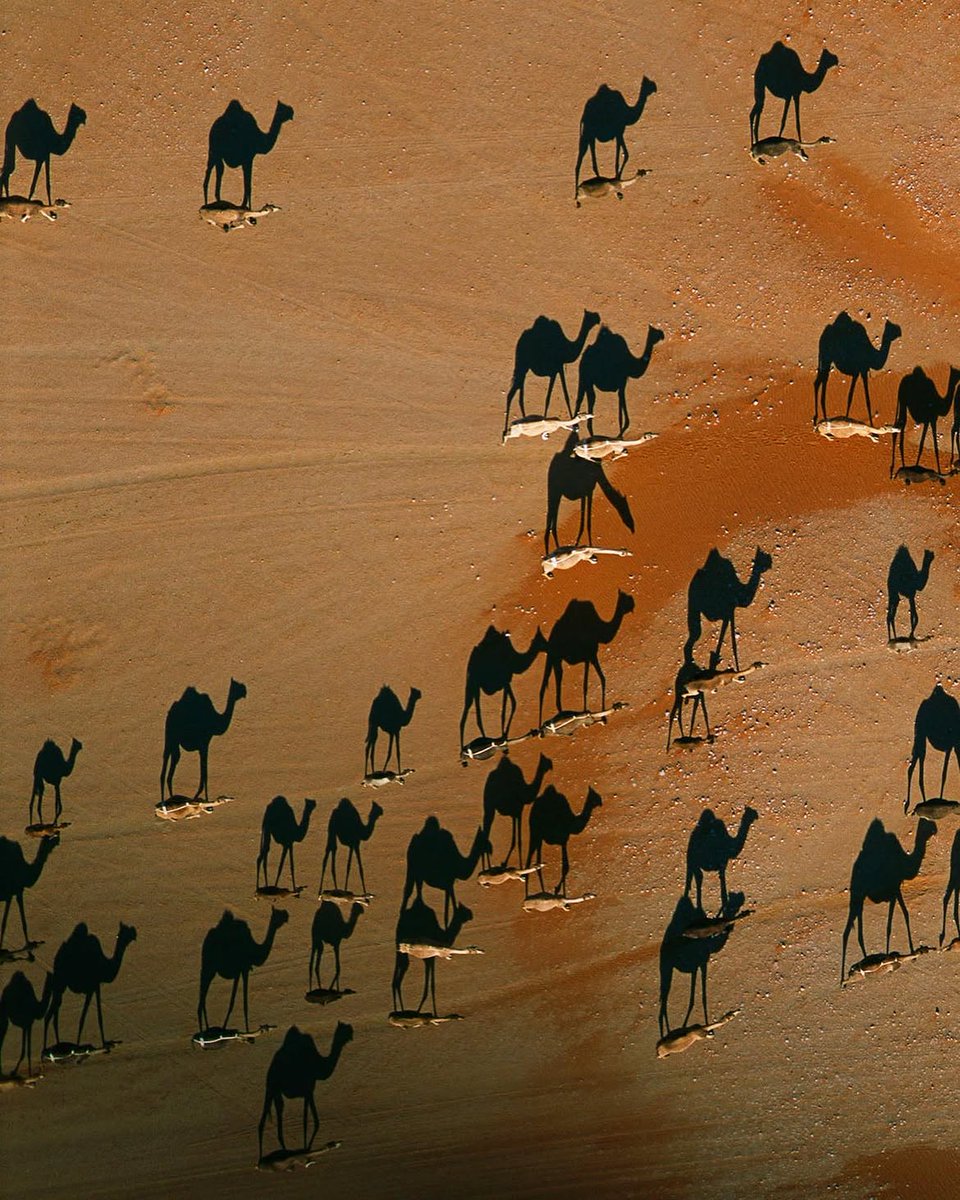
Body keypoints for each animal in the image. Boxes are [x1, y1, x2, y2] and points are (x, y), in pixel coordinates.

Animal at [44, 921, 137, 1049]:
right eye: (120, 934)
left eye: (127, 932)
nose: (134, 935)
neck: (105, 966)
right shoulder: (94, 986)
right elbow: (90, 1017)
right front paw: (102, 1044)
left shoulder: (94, 987)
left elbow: (88, 1016)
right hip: (61, 982)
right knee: (51, 1014)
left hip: (60, 985)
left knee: (54, 1012)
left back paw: (57, 1046)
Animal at [258, 1022, 353, 1160]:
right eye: (346, 1030)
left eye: (349, 1030)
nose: (351, 1036)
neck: (319, 1064)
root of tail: (272, 1067)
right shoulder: (309, 1089)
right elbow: (307, 1120)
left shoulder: (308, 1091)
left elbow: (313, 1120)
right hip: (272, 1085)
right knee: (264, 1119)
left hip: (274, 1089)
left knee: (278, 1109)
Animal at [538, 590, 635, 723]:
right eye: (626, 599)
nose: (633, 606)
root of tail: (550, 640)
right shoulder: (591, 655)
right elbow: (594, 682)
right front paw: (593, 715)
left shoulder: (588, 658)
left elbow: (592, 682)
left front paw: (598, 717)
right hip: (554, 656)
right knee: (543, 689)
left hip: (555, 659)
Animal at [841, 818, 937, 982]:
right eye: (929, 826)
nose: (935, 832)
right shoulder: (895, 888)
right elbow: (900, 917)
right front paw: (915, 953)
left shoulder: (895, 891)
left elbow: (896, 920)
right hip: (858, 895)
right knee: (847, 931)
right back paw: (846, 979)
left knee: (856, 930)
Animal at [905, 684, 960, 813]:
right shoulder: (952, 745)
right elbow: (944, 773)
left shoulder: (951, 746)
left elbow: (944, 774)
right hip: (921, 735)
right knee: (915, 768)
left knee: (915, 767)